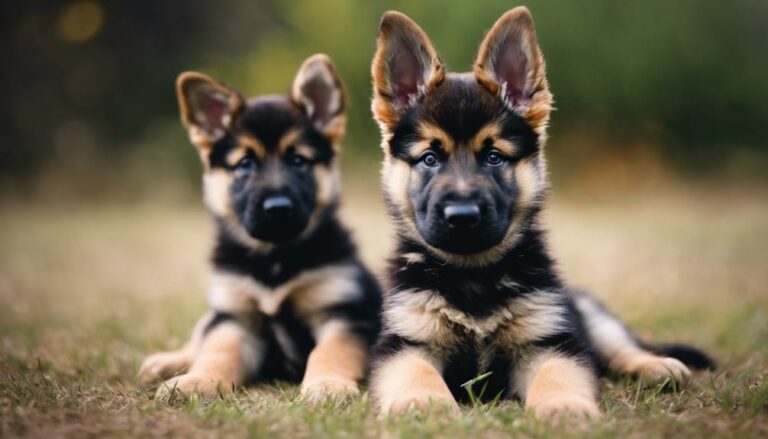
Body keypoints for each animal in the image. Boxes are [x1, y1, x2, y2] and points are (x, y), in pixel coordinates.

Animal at [140, 53, 382, 404]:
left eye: (298, 160)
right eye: (245, 163)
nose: (277, 208)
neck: (275, 259)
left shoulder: (343, 314)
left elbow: (329, 352)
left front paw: (327, 384)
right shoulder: (236, 318)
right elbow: (216, 352)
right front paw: (198, 381)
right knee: (200, 336)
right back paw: (166, 363)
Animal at [368, 7, 712, 420]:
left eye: (494, 157)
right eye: (430, 159)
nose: (463, 215)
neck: (473, 277)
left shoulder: (548, 339)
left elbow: (557, 373)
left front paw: (565, 406)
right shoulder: (404, 342)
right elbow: (416, 371)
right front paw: (423, 402)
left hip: (584, 310)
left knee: (620, 347)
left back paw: (657, 366)